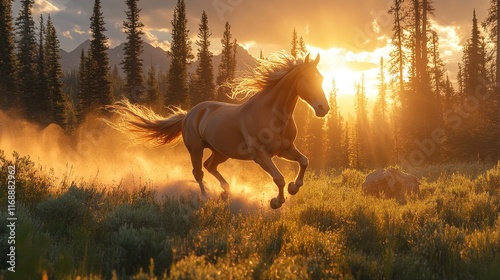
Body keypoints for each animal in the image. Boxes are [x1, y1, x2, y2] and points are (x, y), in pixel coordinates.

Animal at [107, 52, 330, 208]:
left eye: (321, 79)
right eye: (307, 79)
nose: (323, 109)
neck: (271, 114)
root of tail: (188, 114)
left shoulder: (284, 149)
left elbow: (304, 161)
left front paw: (294, 188)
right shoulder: (260, 155)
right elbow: (279, 178)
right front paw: (276, 202)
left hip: (221, 152)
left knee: (210, 166)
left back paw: (225, 191)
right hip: (196, 149)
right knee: (198, 172)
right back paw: (205, 197)